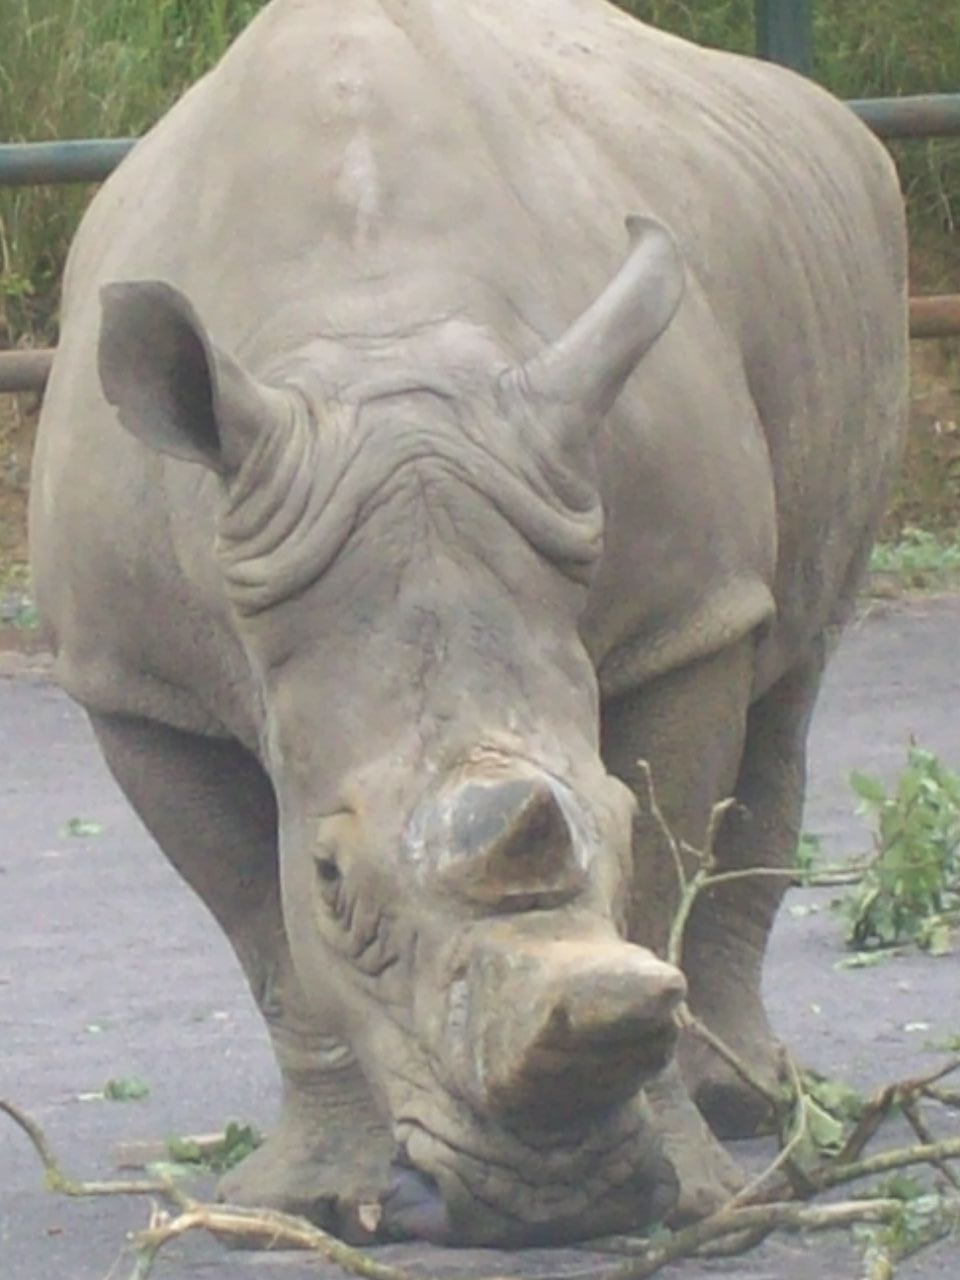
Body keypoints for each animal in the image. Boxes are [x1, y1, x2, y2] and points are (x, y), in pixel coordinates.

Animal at [29, 0, 907, 1248]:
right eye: (334, 877)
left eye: (616, 813)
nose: (555, 1197)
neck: (375, 347)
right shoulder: (137, 681)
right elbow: (265, 930)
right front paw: (303, 1200)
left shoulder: (685, 609)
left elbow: (661, 878)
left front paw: (696, 1191)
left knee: (791, 679)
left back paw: (753, 1102)